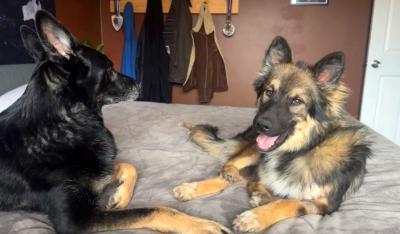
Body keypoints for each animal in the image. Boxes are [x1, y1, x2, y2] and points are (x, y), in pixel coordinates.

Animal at [0, 10, 230, 233]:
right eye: (109, 69)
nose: (139, 83)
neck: (64, 122)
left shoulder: (102, 169)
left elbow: (128, 166)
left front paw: (120, 197)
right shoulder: (75, 221)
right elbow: (153, 210)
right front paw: (201, 225)